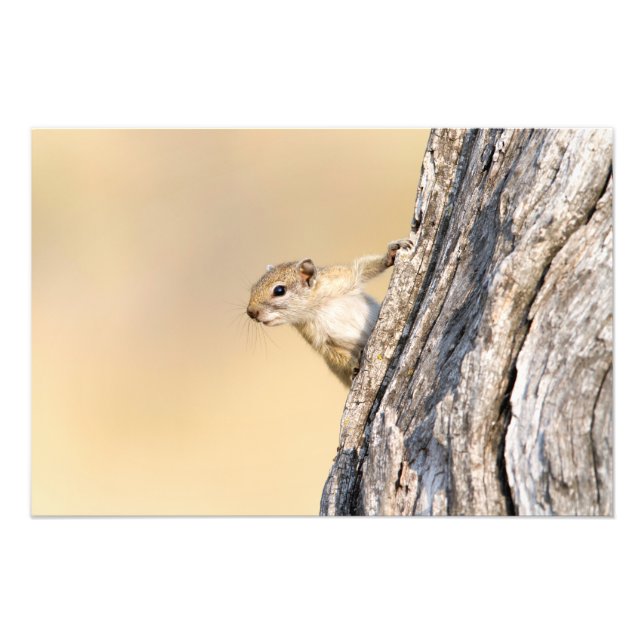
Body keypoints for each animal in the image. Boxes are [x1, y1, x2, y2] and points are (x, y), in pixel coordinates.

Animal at [246, 239, 413, 387]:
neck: (318, 305)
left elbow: (363, 268)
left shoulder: (342, 277)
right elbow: (333, 354)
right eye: (253, 287)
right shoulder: (316, 337)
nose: (251, 312)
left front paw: (392, 252)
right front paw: (353, 365)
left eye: (279, 290)